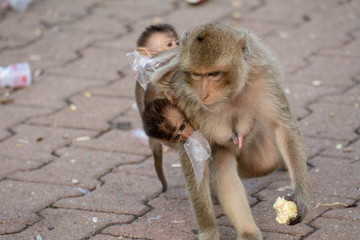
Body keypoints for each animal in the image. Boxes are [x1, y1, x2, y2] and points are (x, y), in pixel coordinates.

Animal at [153, 23, 310, 240]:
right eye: (196, 75)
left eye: (213, 74)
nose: (203, 94)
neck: (228, 96)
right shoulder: (185, 98)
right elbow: (192, 153)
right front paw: (208, 230)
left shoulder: (262, 80)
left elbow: (283, 126)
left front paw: (301, 196)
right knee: (223, 166)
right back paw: (246, 229)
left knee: (264, 162)